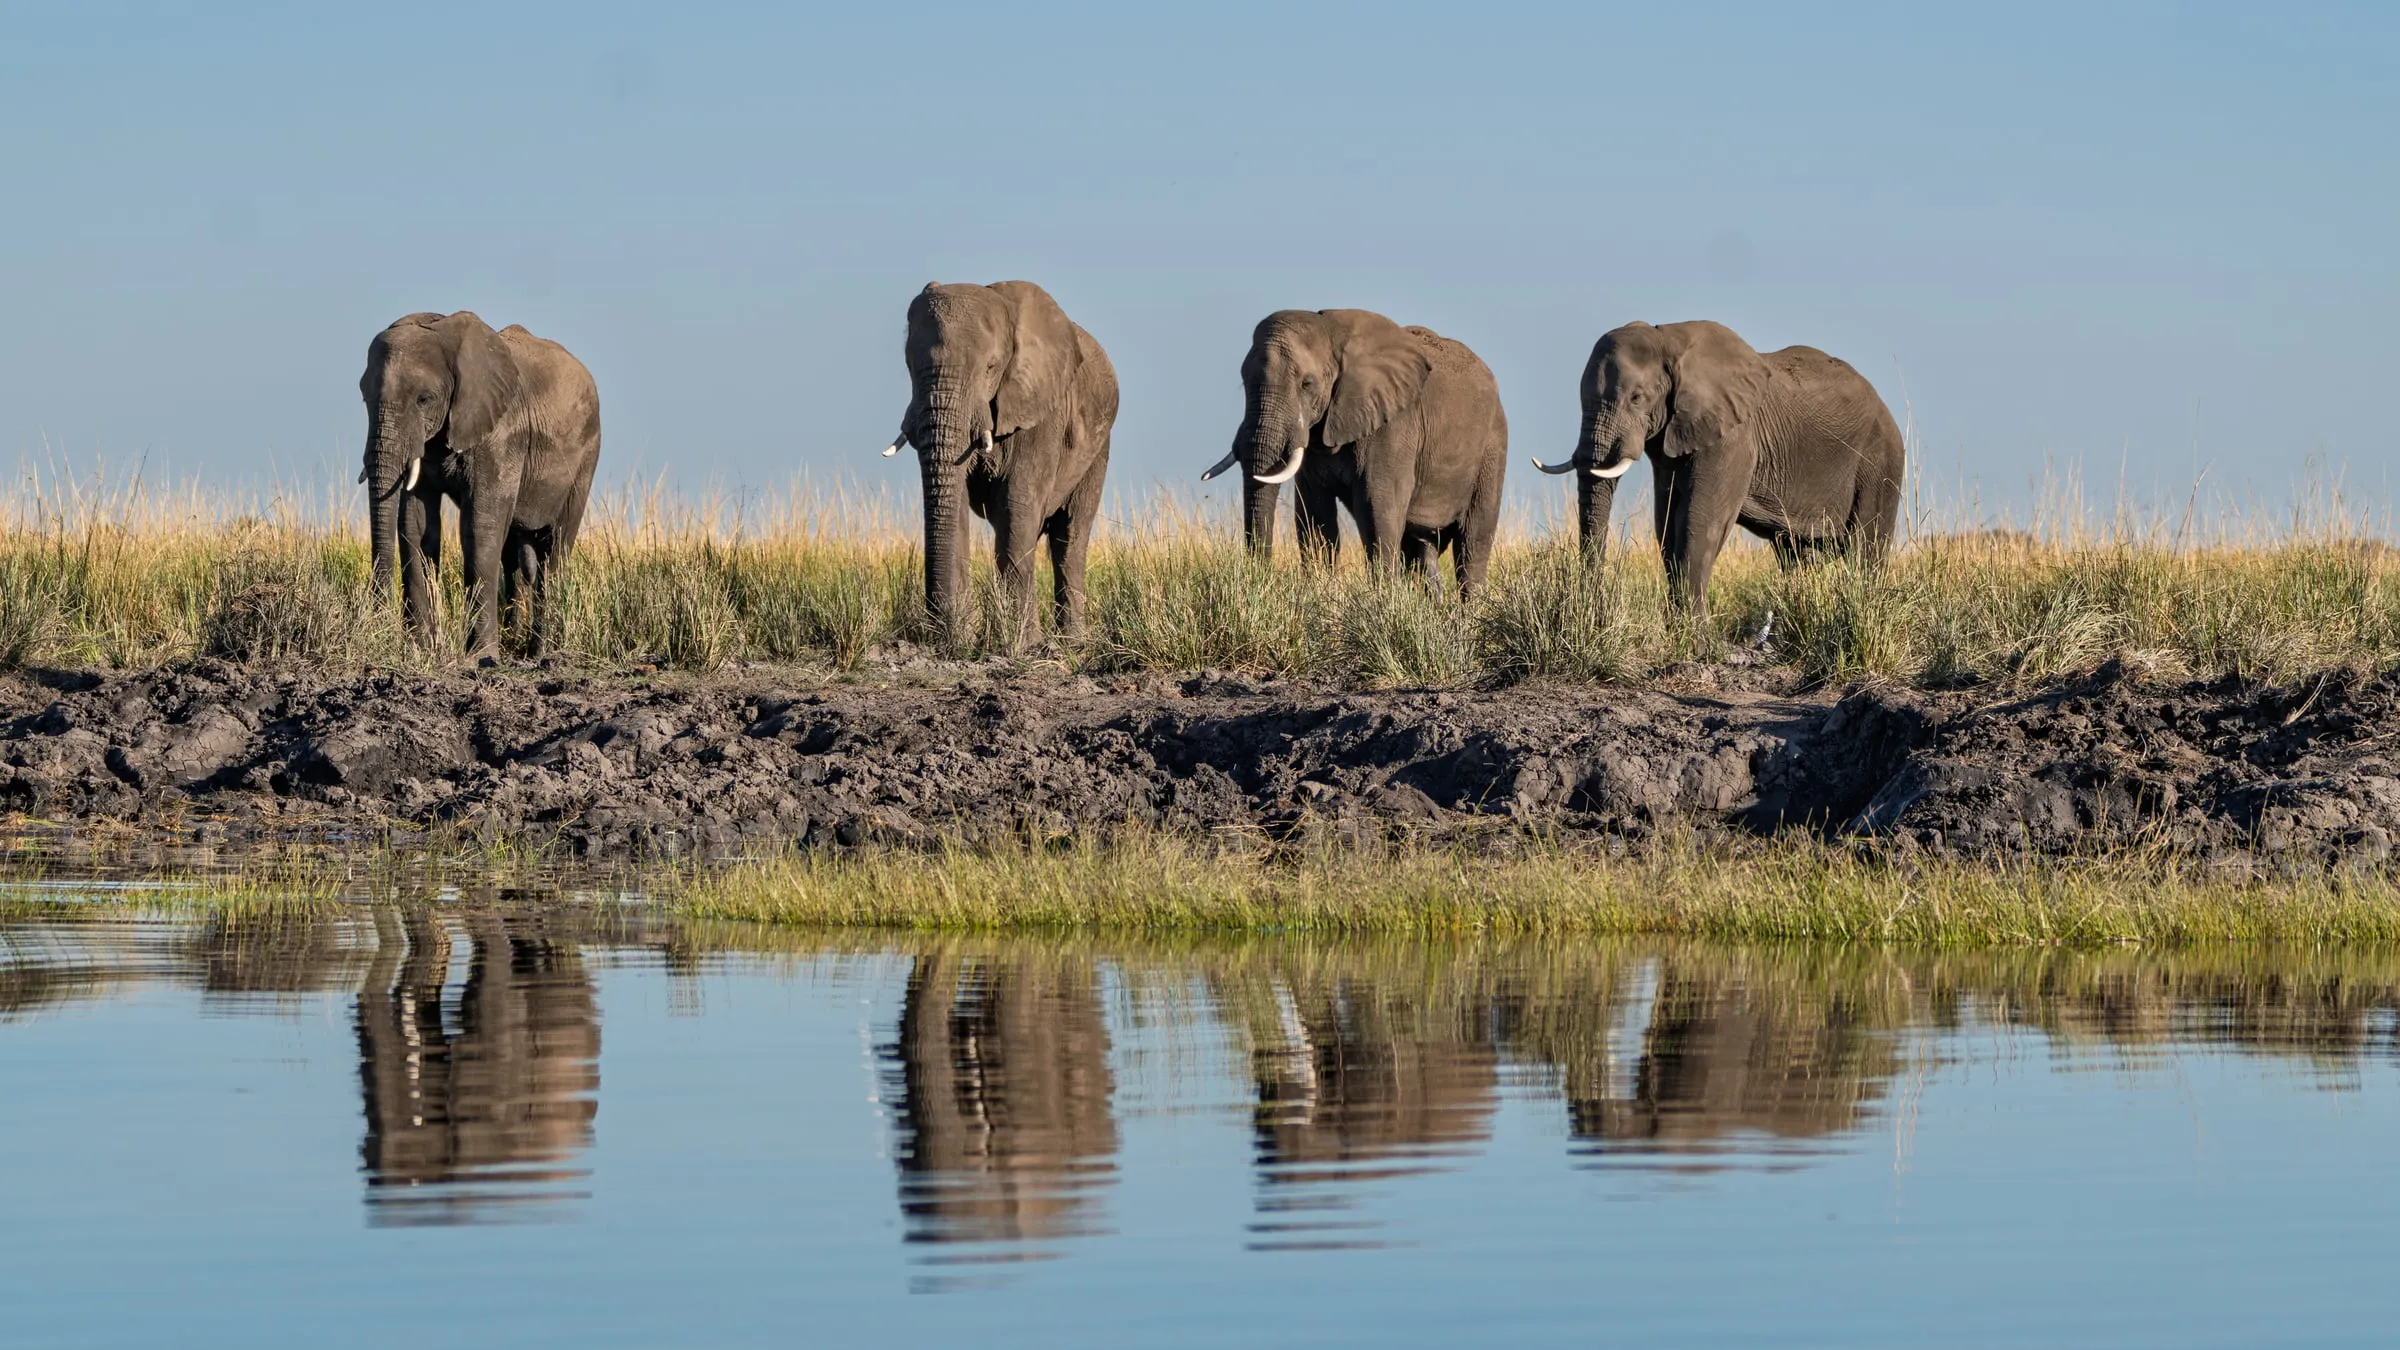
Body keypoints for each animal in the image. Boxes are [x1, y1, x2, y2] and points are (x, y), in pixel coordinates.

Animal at [359, 311, 601, 655]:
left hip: (585, 459)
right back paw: (517, 642)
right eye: (364, 397)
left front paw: (480, 657)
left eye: (423, 399)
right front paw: (420, 650)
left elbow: (479, 526)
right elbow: (416, 526)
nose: (378, 629)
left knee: (555, 549)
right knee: (514, 553)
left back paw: (543, 651)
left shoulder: (502, 434)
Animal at [883, 280, 1118, 650]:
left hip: (1098, 447)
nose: (934, 630)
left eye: (991, 367)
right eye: (908, 365)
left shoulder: (1041, 412)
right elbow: (956, 504)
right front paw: (961, 637)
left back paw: (1072, 644)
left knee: (1070, 535)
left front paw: (1021, 645)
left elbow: (1017, 504)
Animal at [1201, 309, 1506, 598]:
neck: (1331, 331)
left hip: (1492, 448)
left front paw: (1381, 599)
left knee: (1472, 546)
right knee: (1419, 551)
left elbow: (1377, 509)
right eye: (1243, 381)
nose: (1260, 579)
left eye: (1307, 384)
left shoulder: (1393, 426)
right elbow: (1315, 515)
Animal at [1533, 320, 1905, 619]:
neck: (1666, 337)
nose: (1592, 612)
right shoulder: (1671, 437)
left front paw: (1693, 639)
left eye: (1637, 398)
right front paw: (1679, 631)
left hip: (1880, 461)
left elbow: (1700, 524)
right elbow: (1668, 526)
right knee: (1796, 555)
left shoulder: (1735, 438)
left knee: (1866, 550)